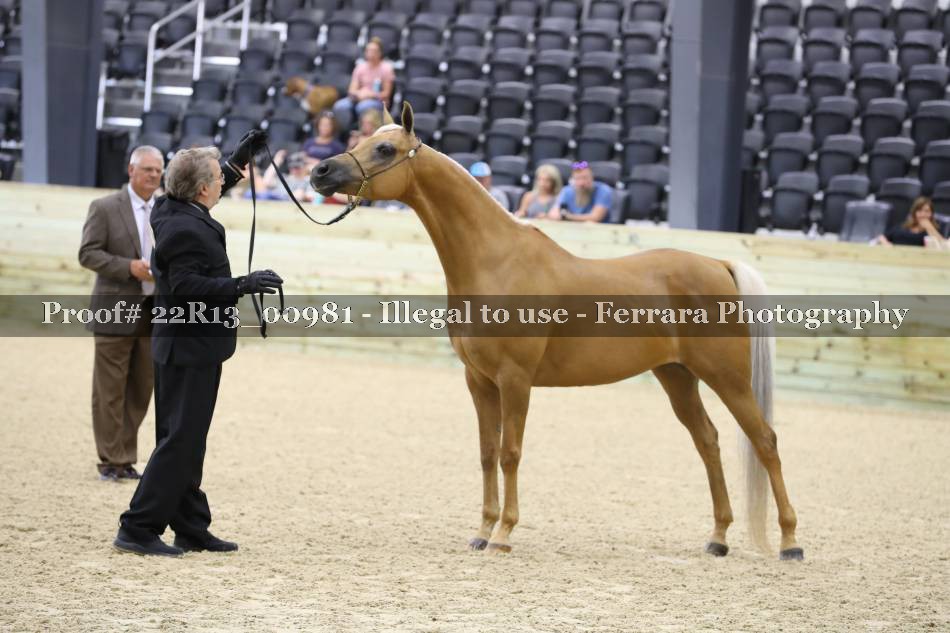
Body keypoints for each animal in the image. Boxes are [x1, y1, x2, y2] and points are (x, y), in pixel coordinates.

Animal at [309, 102, 804, 561]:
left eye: (385, 149)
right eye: (364, 139)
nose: (320, 171)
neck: (496, 261)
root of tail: (717, 264)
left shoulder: (515, 379)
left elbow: (510, 453)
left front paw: (504, 535)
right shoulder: (479, 380)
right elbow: (487, 453)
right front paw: (482, 531)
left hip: (727, 377)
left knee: (766, 441)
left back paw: (790, 542)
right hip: (677, 376)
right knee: (708, 441)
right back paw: (718, 538)